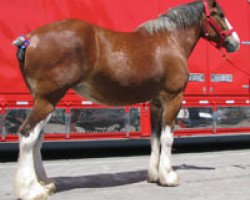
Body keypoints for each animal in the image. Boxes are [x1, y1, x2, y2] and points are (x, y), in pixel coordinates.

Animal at [12, 0, 239, 199]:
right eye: (220, 14)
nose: (235, 42)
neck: (170, 40)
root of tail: (30, 38)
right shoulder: (173, 99)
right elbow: (167, 138)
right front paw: (168, 176)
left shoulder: (156, 103)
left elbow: (154, 138)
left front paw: (154, 175)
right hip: (47, 100)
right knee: (28, 136)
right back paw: (32, 190)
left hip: (46, 102)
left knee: (37, 140)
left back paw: (44, 183)